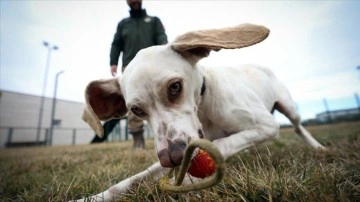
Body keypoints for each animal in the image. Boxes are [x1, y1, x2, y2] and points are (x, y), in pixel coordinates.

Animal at [79, 23, 326, 200]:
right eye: (136, 109)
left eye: (175, 87)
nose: (172, 158)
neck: (204, 109)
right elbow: (131, 181)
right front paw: (94, 197)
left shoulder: (266, 125)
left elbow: (221, 144)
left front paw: (188, 179)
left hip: (289, 109)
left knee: (298, 128)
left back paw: (319, 147)